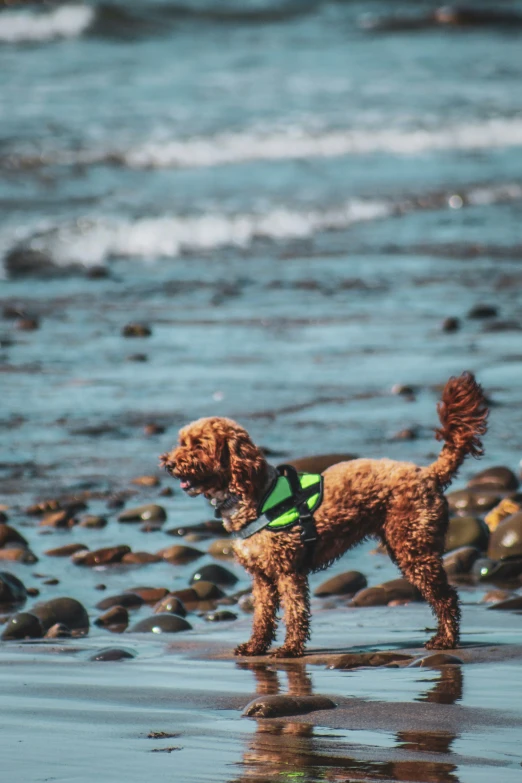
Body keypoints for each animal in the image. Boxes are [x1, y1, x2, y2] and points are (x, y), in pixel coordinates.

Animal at [160, 374, 486, 656]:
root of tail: (429, 473)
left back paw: (446, 640)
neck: (255, 495)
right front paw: (255, 647)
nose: (167, 463)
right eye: (181, 442)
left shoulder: (288, 571)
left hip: (414, 547)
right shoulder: (262, 577)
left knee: (446, 597)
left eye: (198, 446)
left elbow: (295, 611)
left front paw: (290, 649)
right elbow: (262, 615)